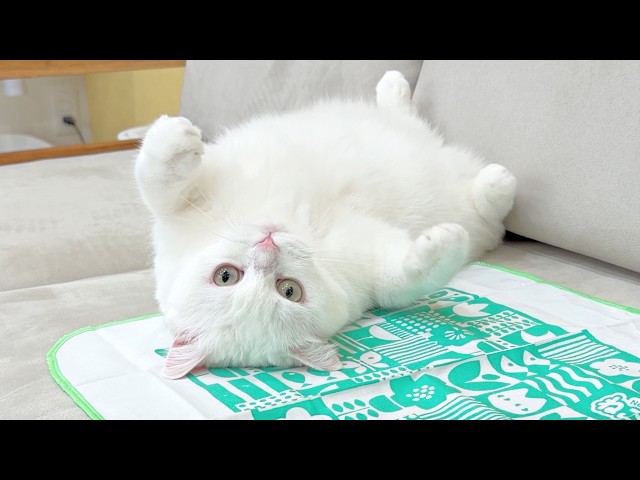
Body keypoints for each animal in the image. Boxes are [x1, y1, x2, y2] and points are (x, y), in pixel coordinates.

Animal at [135, 70, 517, 379]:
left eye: (224, 276)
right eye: (290, 291)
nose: (268, 245)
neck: (300, 226)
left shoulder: (182, 210)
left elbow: (157, 183)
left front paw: (175, 136)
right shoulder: (373, 272)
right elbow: (405, 280)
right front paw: (443, 243)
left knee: (406, 119)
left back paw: (393, 86)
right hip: (465, 207)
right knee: (488, 210)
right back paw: (497, 182)